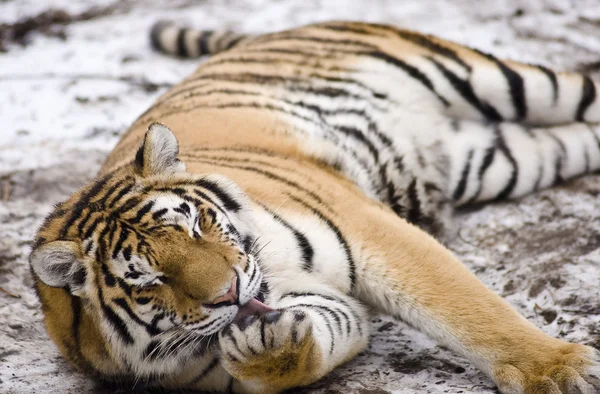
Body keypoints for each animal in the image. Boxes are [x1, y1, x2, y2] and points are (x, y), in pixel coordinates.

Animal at [29, 19, 600, 394]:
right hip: (498, 159)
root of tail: (263, 35)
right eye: (149, 280)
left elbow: (467, 307)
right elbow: (312, 342)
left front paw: (562, 369)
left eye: (193, 225)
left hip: (501, 80)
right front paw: (269, 348)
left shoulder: (370, 228)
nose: (231, 293)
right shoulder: (318, 308)